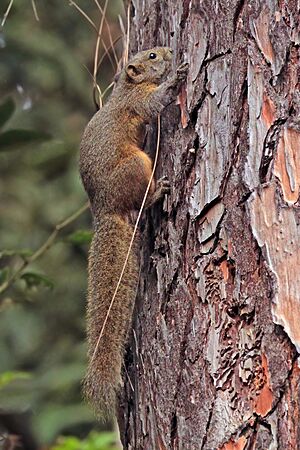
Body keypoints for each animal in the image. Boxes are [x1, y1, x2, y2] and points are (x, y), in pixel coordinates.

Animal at [78, 47, 189, 416]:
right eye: (152, 55)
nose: (168, 51)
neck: (127, 87)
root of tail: (105, 209)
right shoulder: (139, 103)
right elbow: (156, 103)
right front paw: (176, 77)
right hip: (137, 165)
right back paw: (158, 192)